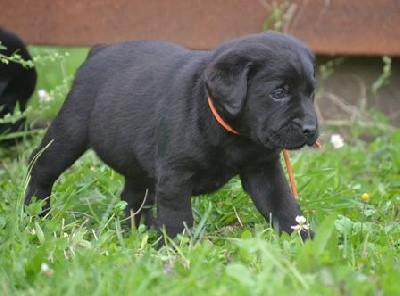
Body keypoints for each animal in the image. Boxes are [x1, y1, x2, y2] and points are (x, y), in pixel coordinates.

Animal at [25, 31, 318, 242]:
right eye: (278, 93)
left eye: (310, 93)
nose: (310, 129)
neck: (233, 133)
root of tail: (99, 50)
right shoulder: (176, 176)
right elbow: (178, 215)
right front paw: (179, 247)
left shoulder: (263, 169)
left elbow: (283, 205)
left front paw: (304, 238)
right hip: (69, 133)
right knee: (40, 168)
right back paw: (35, 212)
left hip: (135, 161)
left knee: (134, 195)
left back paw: (141, 229)